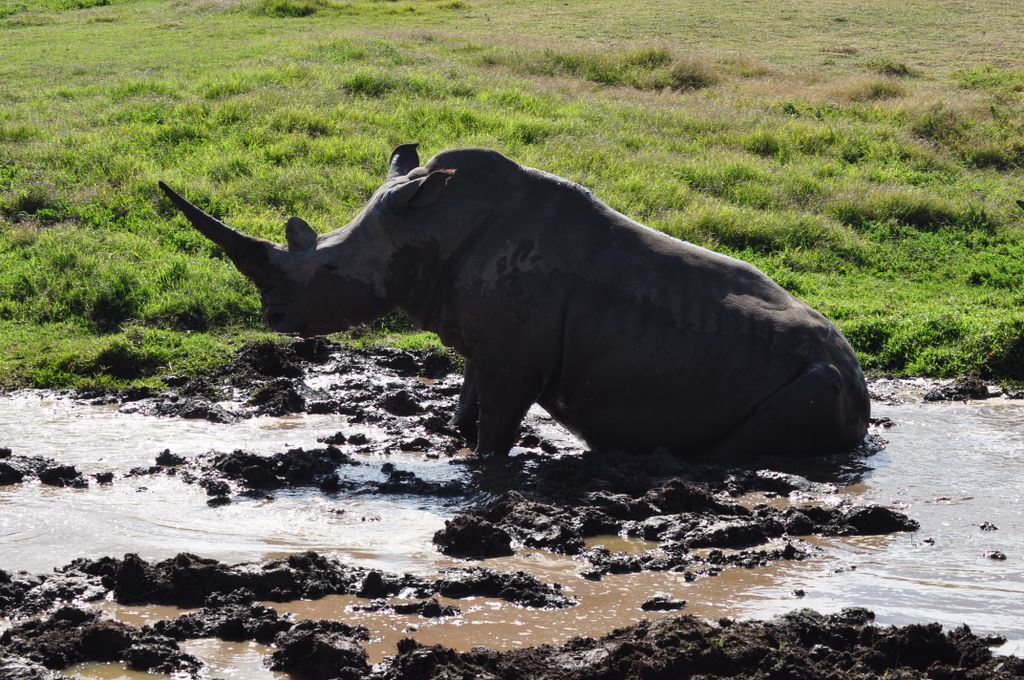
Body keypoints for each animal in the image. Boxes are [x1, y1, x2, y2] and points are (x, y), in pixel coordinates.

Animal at [159, 144, 869, 459]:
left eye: (328, 268)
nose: (273, 318)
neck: (429, 228)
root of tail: (860, 383)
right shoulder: (485, 342)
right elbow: (469, 399)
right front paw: (450, 438)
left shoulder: (516, 359)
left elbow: (496, 427)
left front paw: (482, 469)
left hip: (816, 376)